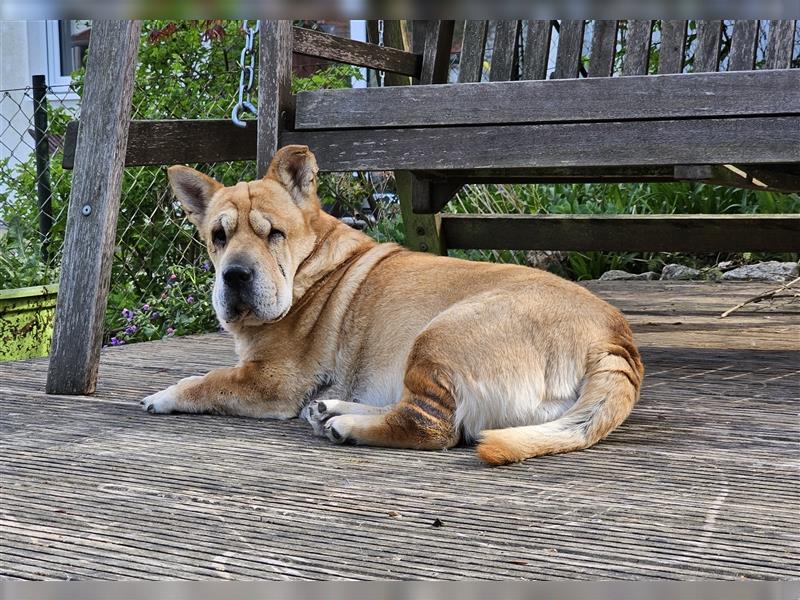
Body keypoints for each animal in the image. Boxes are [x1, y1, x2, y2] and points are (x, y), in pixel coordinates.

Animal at [142, 144, 644, 464]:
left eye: (274, 234)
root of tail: (613, 339)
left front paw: (163, 395)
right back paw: (334, 410)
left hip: (439, 334)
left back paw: (347, 426)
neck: (310, 265)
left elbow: (206, 381)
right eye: (218, 237)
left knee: (432, 426)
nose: (235, 275)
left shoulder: (269, 380)